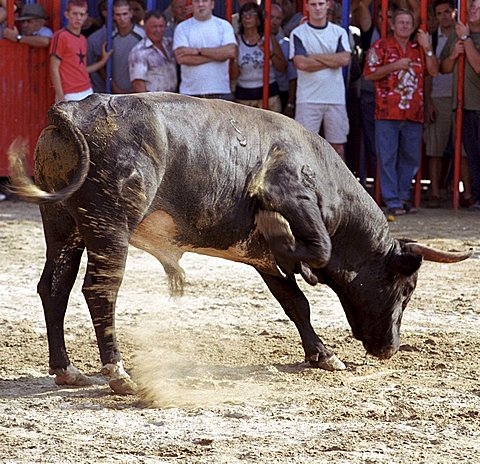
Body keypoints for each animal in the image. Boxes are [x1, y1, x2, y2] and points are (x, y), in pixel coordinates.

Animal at [8, 94, 472, 396]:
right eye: (406, 290)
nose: (390, 348)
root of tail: (73, 110)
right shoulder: (289, 196)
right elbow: (316, 251)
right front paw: (290, 245)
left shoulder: (263, 261)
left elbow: (295, 303)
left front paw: (321, 354)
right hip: (111, 226)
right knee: (100, 291)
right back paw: (118, 374)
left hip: (63, 224)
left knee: (55, 287)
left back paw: (66, 369)